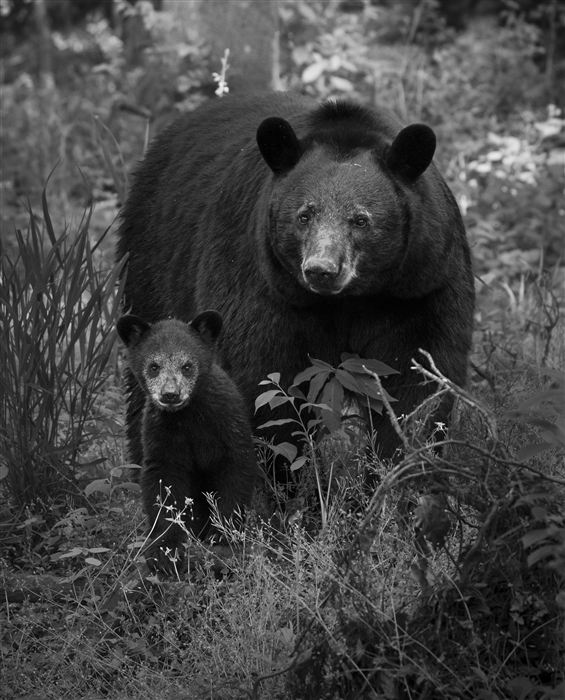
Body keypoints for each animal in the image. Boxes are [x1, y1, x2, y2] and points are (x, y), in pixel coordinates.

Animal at [116, 311, 257, 573]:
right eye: (154, 366)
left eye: (187, 366)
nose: (170, 394)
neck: (187, 417)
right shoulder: (160, 434)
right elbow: (163, 486)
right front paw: (165, 550)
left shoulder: (227, 424)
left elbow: (235, 473)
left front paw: (222, 538)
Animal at [117, 92, 474, 470]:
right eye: (304, 215)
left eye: (361, 219)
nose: (321, 269)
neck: (349, 299)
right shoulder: (263, 284)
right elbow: (264, 381)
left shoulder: (419, 285)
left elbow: (416, 382)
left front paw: (404, 467)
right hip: (151, 263)